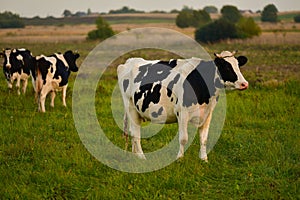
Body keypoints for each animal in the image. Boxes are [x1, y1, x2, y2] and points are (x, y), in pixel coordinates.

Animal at [117, 50, 248, 162]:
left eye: (238, 65)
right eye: (226, 66)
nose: (244, 84)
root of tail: (129, 61)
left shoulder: (207, 113)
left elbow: (204, 138)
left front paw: (204, 159)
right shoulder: (182, 112)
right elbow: (183, 138)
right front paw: (179, 158)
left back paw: (135, 155)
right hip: (130, 107)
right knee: (135, 133)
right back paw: (142, 157)